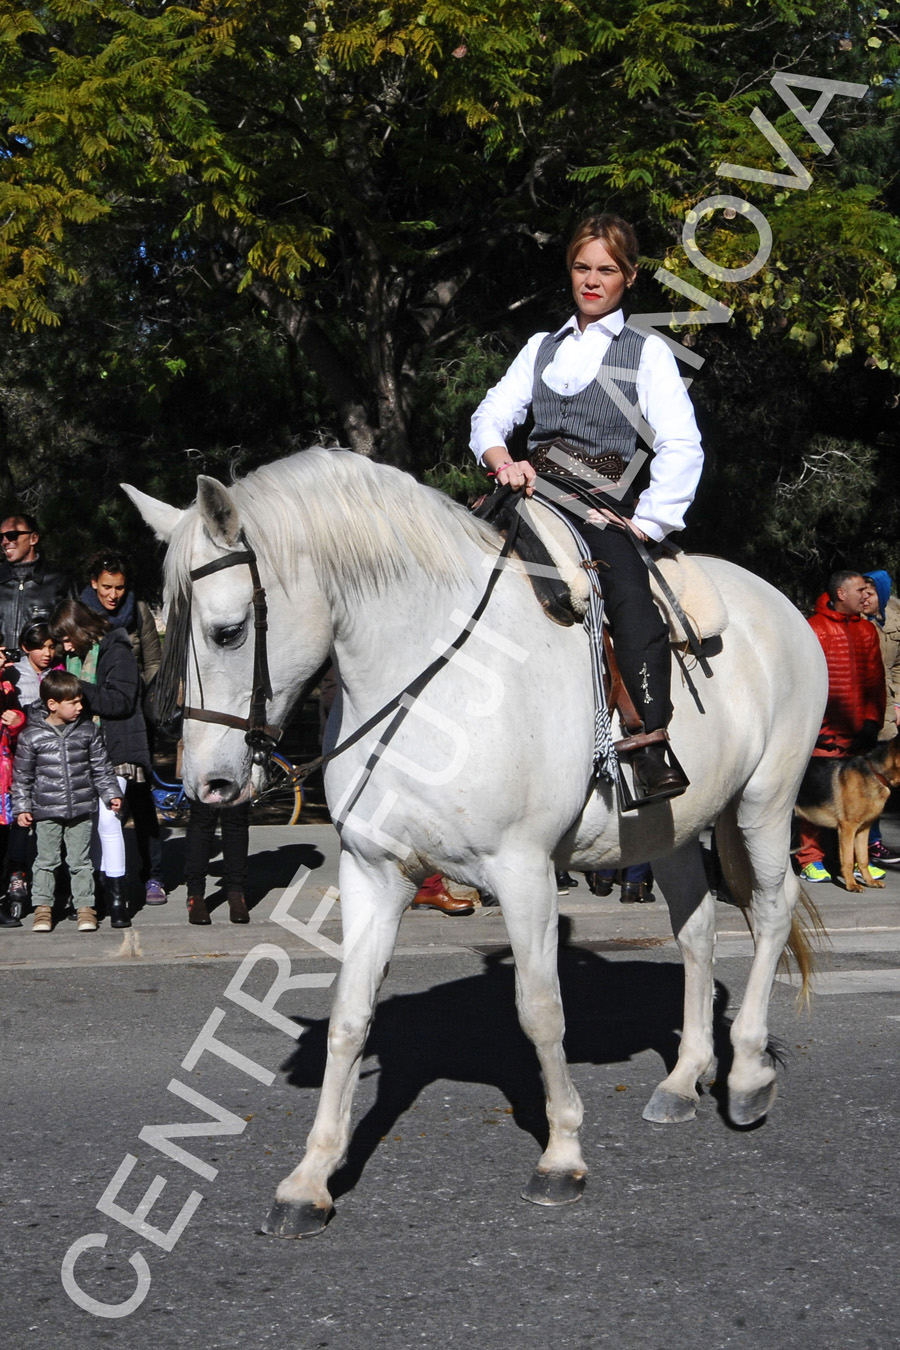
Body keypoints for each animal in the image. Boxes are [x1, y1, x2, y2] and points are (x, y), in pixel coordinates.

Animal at [124, 450, 825, 1236]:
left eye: (228, 631)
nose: (206, 785)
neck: (427, 679)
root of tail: (780, 604)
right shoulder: (374, 873)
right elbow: (350, 1018)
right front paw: (310, 1179)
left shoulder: (523, 872)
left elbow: (540, 1010)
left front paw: (562, 1154)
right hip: (671, 827)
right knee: (698, 929)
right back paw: (684, 1079)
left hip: (765, 801)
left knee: (770, 913)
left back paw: (747, 1075)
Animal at [793, 734, 900, 891]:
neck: (876, 773)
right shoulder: (847, 828)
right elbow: (849, 860)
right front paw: (851, 885)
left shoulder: (863, 830)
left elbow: (863, 859)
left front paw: (869, 881)